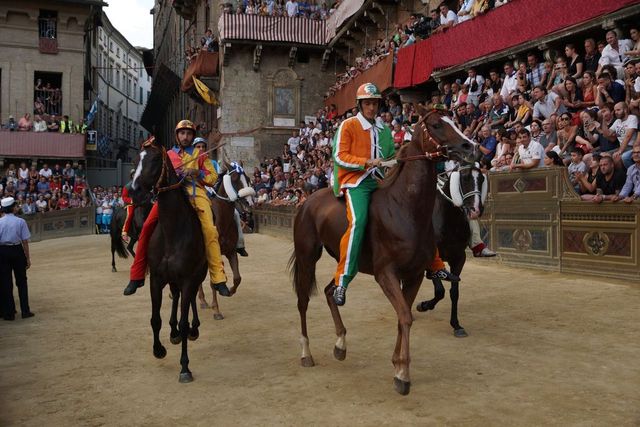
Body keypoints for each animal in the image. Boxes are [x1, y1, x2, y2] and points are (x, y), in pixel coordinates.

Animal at [129, 138, 209, 384]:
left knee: (190, 300)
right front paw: (158, 349)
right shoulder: (156, 278)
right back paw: (172, 333)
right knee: (176, 298)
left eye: (156, 159)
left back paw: (194, 328)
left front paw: (184, 367)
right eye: (136, 159)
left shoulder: (188, 278)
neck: (173, 231)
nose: (134, 191)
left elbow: (184, 320)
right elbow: (156, 318)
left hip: (196, 276)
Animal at [288, 106, 478, 394]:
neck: (404, 208)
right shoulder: (385, 273)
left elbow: (404, 316)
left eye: (454, 121)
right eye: (436, 124)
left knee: (332, 291)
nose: (469, 147)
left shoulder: (413, 275)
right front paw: (403, 375)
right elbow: (405, 317)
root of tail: (307, 201)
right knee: (303, 301)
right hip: (308, 256)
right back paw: (306, 353)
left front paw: (398, 365)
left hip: (347, 262)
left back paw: (340, 344)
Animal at [418, 164, 488, 338]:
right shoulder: (432, 260)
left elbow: (454, 292)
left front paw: (456, 325)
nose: (476, 209)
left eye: (481, 179)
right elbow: (440, 291)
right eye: (465, 178)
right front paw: (424, 305)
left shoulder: (459, 258)